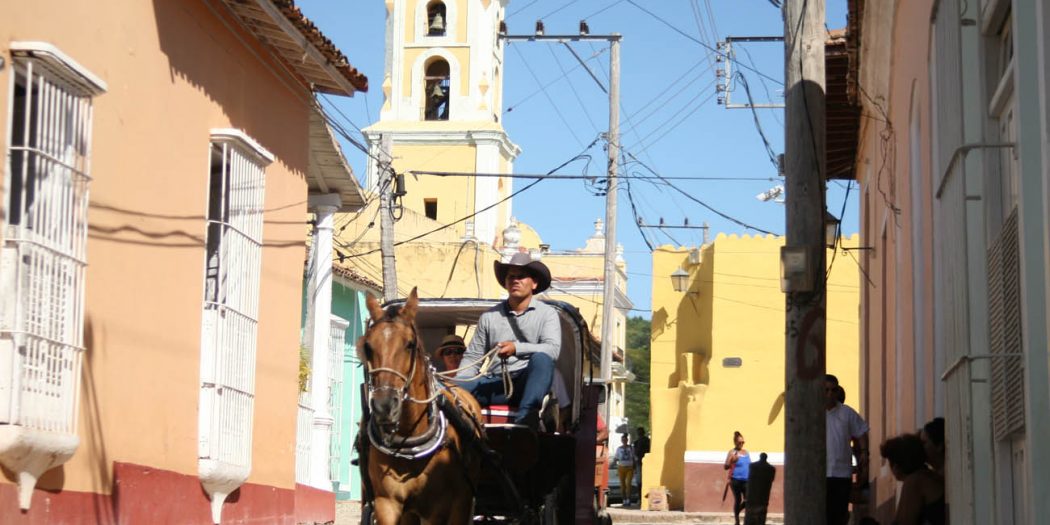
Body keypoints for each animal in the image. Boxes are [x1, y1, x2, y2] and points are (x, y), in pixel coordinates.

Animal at [354, 289, 480, 522]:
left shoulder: (436, 509)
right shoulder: (387, 503)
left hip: (462, 502)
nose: (385, 405)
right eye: (367, 346)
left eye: (410, 344)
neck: (408, 438)